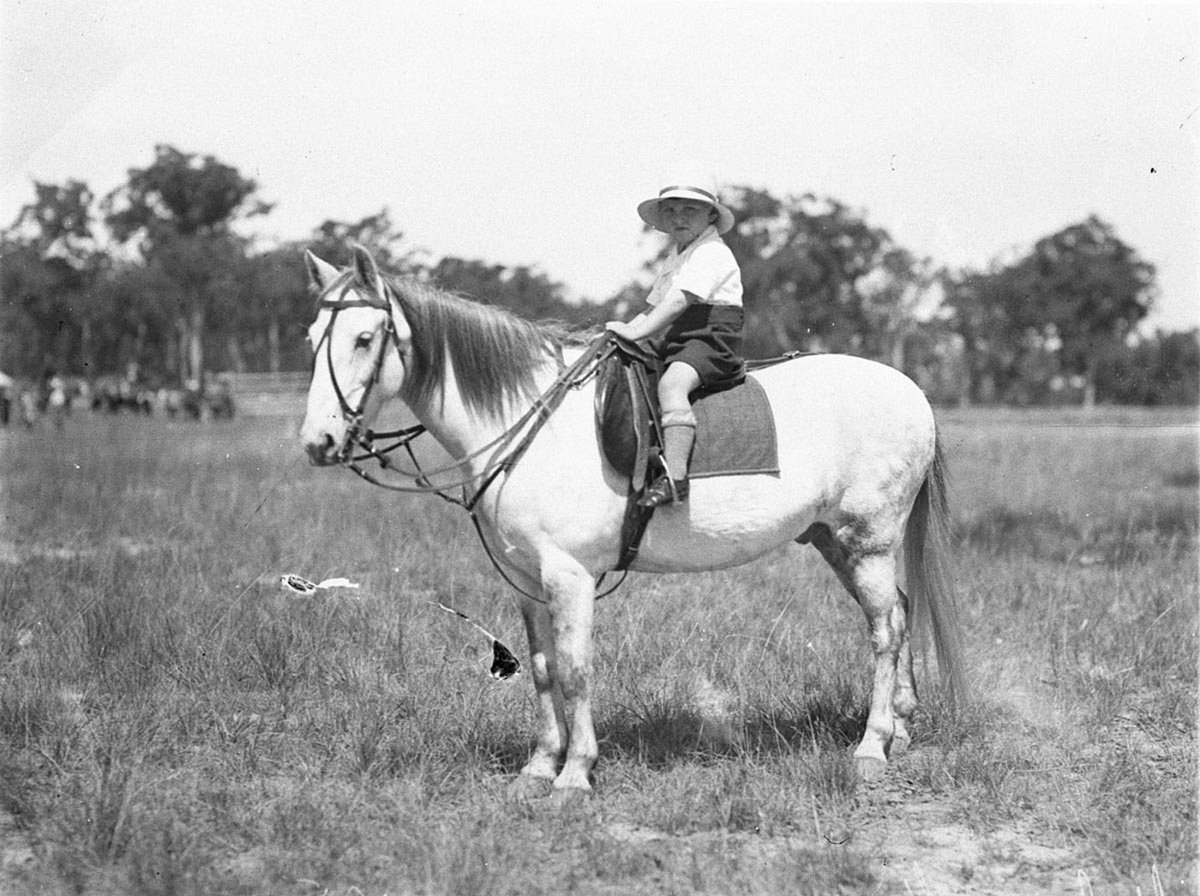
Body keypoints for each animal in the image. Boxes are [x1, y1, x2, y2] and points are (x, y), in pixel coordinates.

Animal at [299, 245, 966, 796]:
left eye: (364, 338)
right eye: (311, 338)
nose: (318, 442)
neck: (529, 420)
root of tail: (911, 389)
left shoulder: (569, 576)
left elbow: (574, 670)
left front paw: (575, 775)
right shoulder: (527, 580)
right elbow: (541, 670)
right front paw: (538, 767)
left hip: (868, 541)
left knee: (885, 631)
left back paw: (872, 746)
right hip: (836, 541)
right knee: (900, 613)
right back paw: (901, 729)